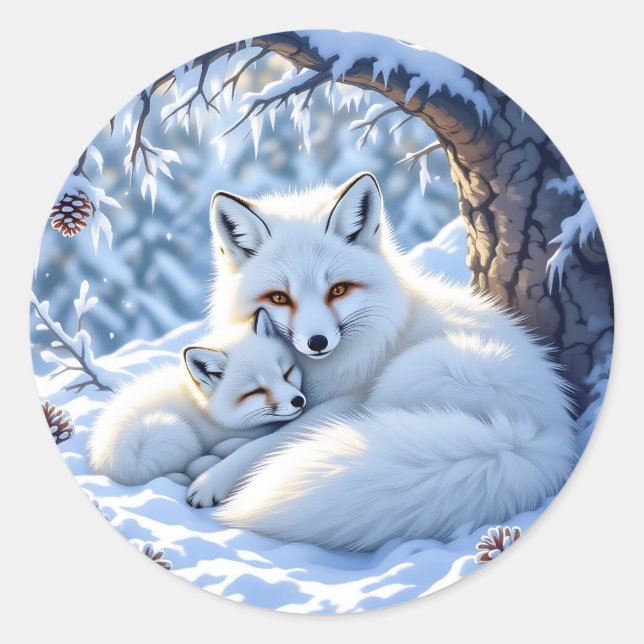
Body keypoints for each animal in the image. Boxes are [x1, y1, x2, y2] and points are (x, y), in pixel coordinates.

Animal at [89, 309, 306, 499]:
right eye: (256, 391)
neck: (206, 414)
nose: (298, 401)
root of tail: (102, 458)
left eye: (286, 373)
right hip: (173, 433)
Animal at [186, 171, 579, 551]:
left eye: (338, 290)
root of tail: (536, 438)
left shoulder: (346, 400)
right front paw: (220, 452)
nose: (317, 342)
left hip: (408, 375)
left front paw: (215, 478)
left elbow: (275, 440)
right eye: (280, 297)